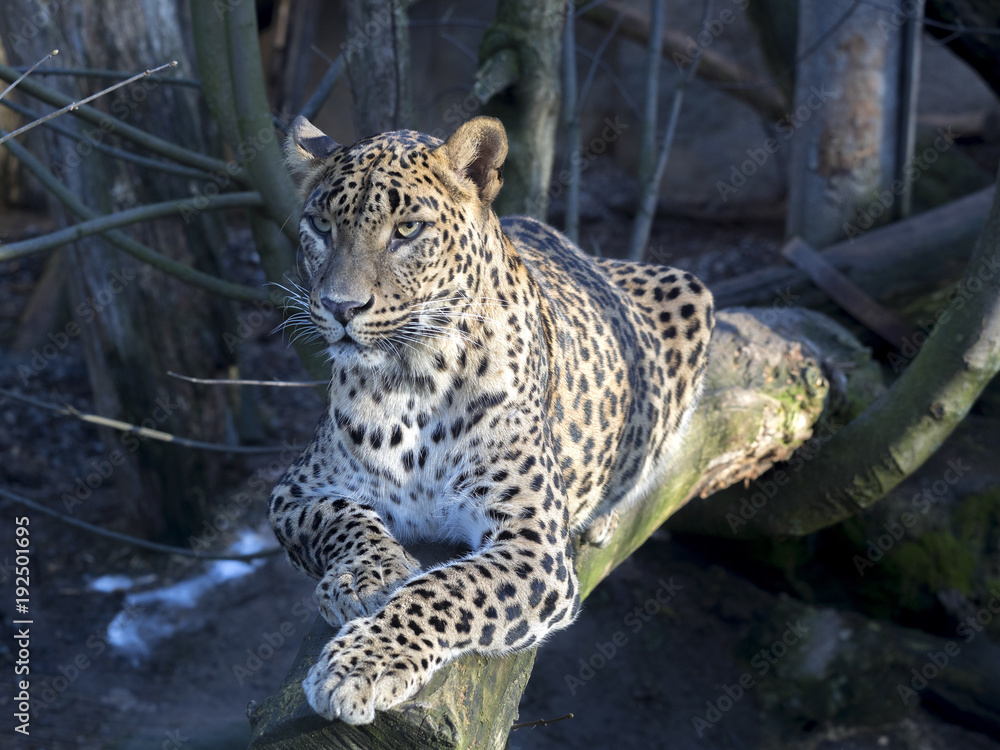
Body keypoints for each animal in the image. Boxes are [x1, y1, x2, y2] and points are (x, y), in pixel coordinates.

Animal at [267, 114, 714, 725]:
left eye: (407, 230)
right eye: (320, 226)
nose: (340, 307)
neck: (409, 380)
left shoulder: (534, 545)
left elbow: (445, 590)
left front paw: (358, 666)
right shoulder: (297, 490)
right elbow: (342, 518)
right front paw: (368, 576)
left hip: (688, 293)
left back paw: (601, 516)